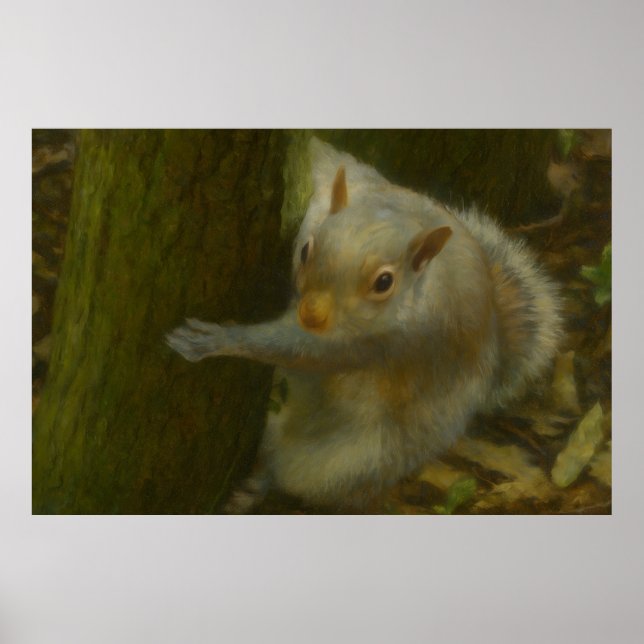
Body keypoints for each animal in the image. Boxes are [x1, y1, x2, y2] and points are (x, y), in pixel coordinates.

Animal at [166, 137, 563, 512]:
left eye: (384, 282)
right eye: (306, 250)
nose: (311, 315)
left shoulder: (393, 341)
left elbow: (303, 350)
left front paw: (213, 339)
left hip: (355, 465)